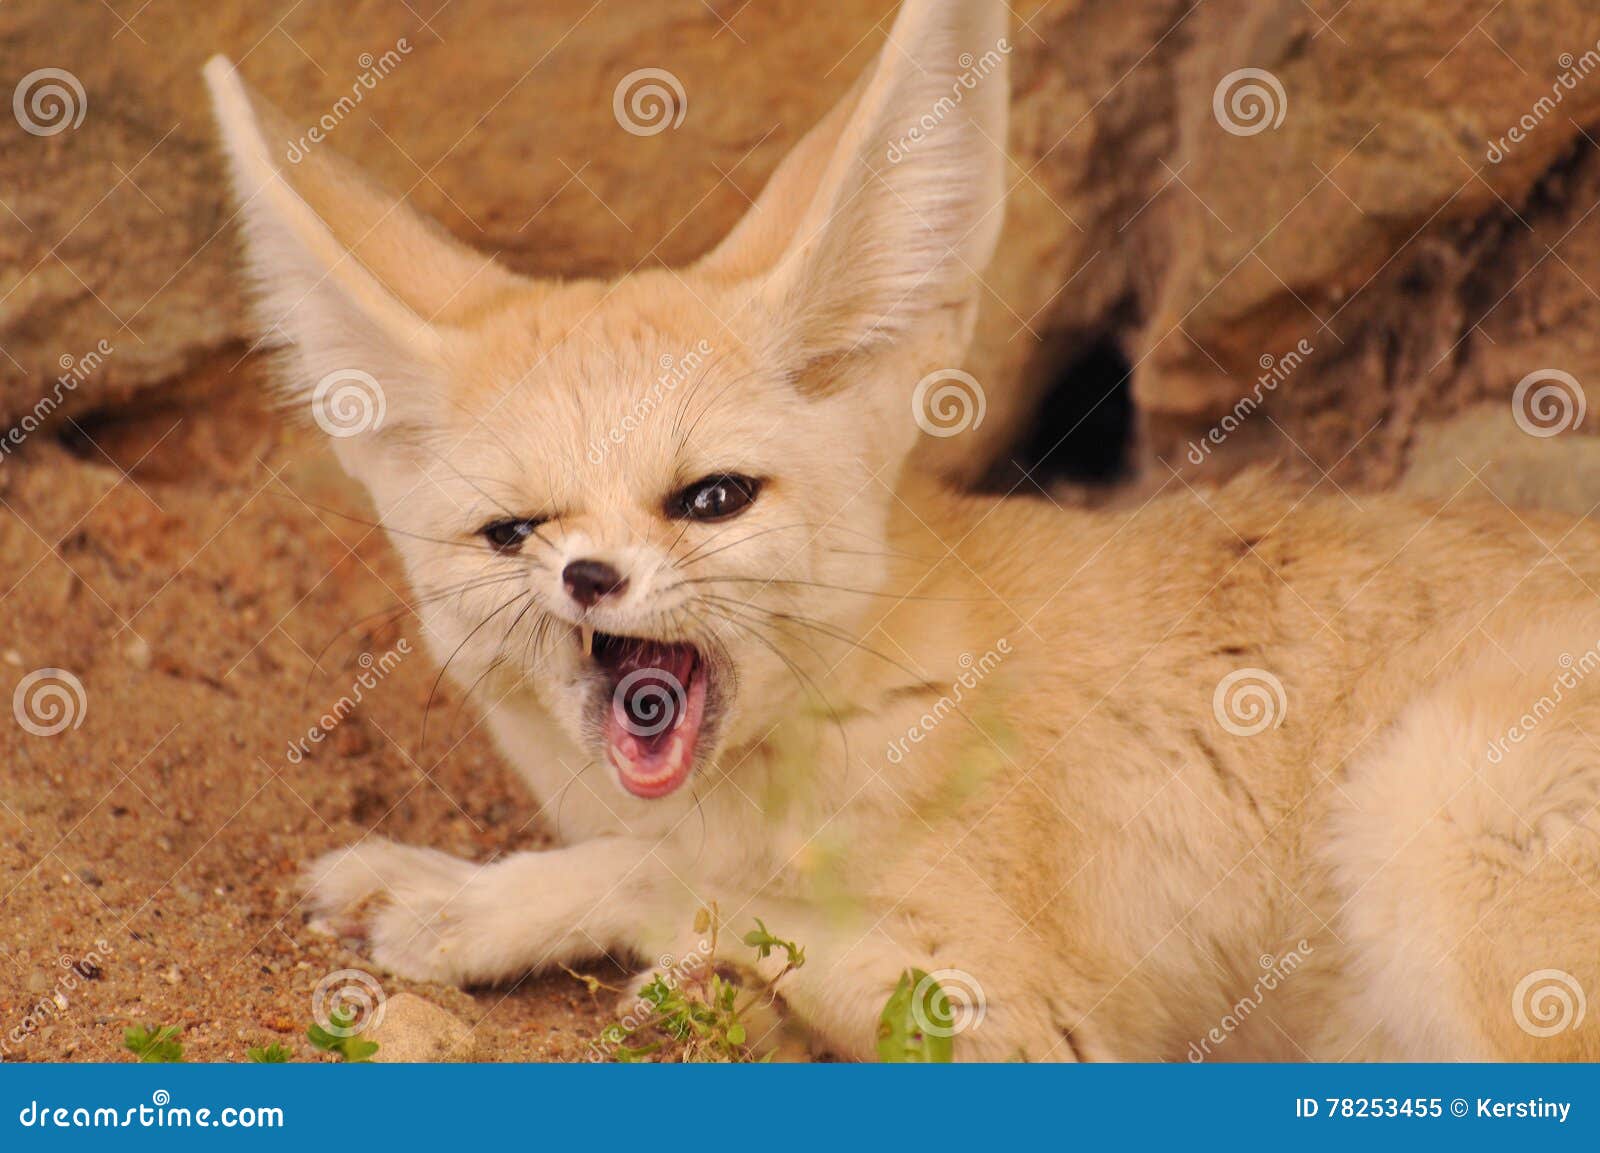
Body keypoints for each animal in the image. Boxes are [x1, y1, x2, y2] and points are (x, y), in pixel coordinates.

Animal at [205, 0, 1600, 1061]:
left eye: (711, 497)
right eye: (514, 531)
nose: (590, 577)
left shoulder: (1021, 1019)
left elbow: (673, 876)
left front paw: (470, 899)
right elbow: (664, 862)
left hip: (1434, 814)